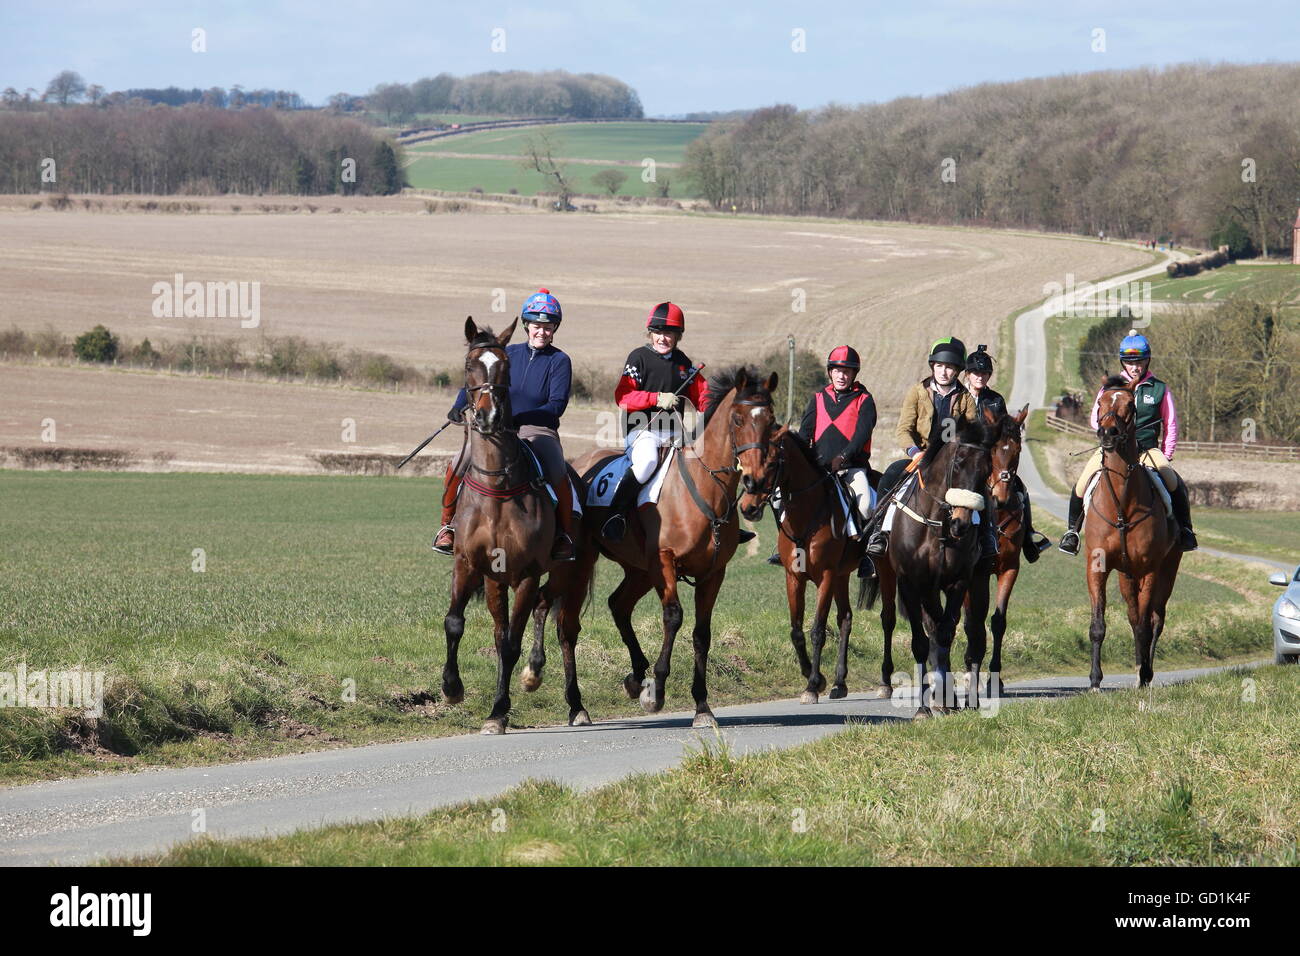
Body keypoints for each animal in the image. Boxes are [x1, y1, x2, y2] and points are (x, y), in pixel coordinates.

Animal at [439, 317, 587, 738]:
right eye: (470, 364)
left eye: (504, 366)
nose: (487, 416)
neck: (497, 488)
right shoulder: (469, 564)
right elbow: (456, 623)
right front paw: (452, 689)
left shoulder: (526, 574)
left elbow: (511, 644)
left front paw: (499, 709)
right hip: (496, 581)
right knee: (522, 619)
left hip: (571, 574)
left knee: (564, 630)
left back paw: (575, 705)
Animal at [564, 364, 774, 723]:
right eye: (738, 419)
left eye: (771, 420)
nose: (755, 482)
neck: (706, 488)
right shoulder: (664, 561)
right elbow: (673, 617)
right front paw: (657, 689)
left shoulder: (712, 574)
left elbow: (702, 634)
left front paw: (702, 706)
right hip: (585, 564)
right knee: (566, 623)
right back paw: (577, 705)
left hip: (638, 570)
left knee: (618, 605)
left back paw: (635, 676)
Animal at [743, 429, 863, 707]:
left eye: (771, 463)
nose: (748, 508)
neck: (806, 516)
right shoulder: (794, 577)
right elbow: (796, 631)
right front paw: (815, 678)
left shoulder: (826, 577)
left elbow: (817, 630)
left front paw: (812, 686)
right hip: (842, 576)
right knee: (845, 618)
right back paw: (840, 683)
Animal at [863, 411, 993, 717]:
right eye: (958, 462)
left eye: (986, 470)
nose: (961, 522)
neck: (937, 523)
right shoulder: (911, 583)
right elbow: (921, 642)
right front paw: (924, 708)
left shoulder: (958, 582)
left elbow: (944, 635)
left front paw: (946, 698)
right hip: (891, 576)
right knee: (899, 621)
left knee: (966, 630)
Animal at [1081, 374, 1185, 686]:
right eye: (1101, 402)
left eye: (1130, 404)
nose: (1108, 433)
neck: (1121, 503)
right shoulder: (1097, 565)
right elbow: (1098, 625)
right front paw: (1095, 680)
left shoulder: (1150, 568)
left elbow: (1145, 624)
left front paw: (1144, 674)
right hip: (1126, 576)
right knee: (1133, 613)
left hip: (1167, 569)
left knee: (1154, 618)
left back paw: (1145, 671)